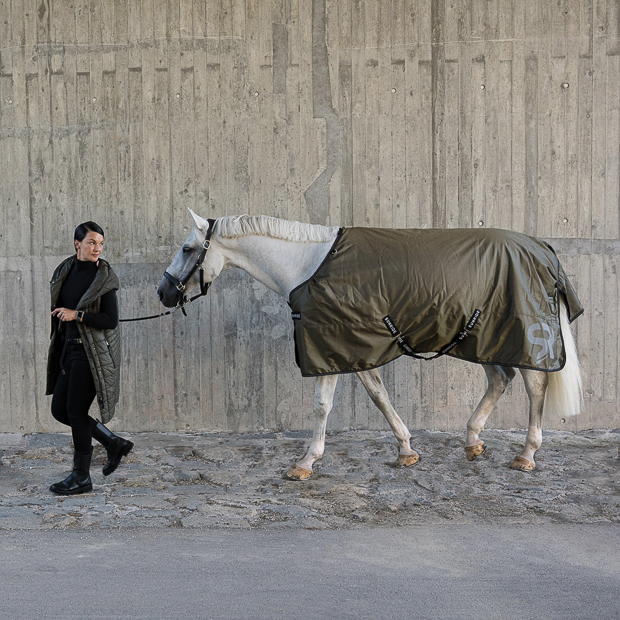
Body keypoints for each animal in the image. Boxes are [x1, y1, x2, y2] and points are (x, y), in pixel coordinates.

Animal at [159, 211, 580, 478]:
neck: (309, 265)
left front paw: (305, 463)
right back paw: (473, 441)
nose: (163, 292)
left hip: (522, 335)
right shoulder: (354, 346)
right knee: (500, 378)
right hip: (481, 337)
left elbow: (322, 406)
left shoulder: (329, 347)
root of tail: (542, 250)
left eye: (186, 249)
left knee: (534, 384)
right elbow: (379, 396)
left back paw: (526, 454)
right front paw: (407, 451)